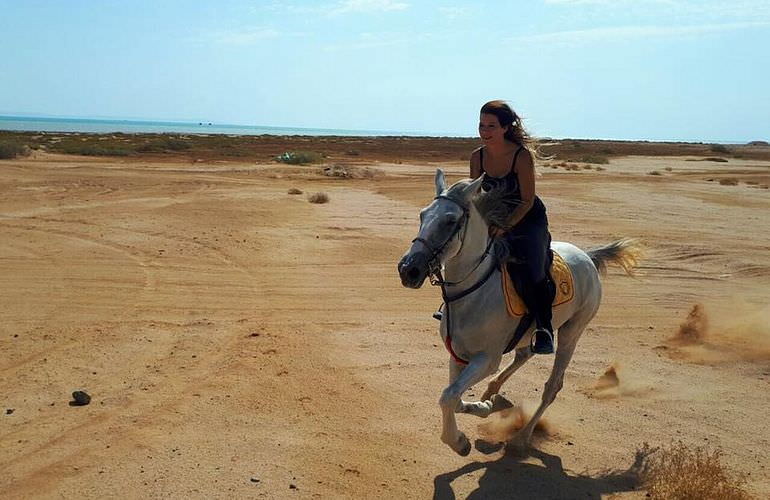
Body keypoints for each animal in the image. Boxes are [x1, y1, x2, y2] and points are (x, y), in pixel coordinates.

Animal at [392, 170, 640, 456]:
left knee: (552, 387)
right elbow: (453, 397)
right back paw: (493, 394)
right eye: (422, 215)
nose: (408, 269)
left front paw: (459, 441)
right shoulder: (458, 356)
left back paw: (520, 438)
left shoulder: (486, 359)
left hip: (572, 331)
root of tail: (587, 256)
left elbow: (448, 397)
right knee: (524, 355)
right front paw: (484, 408)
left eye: (450, 220)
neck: (474, 292)